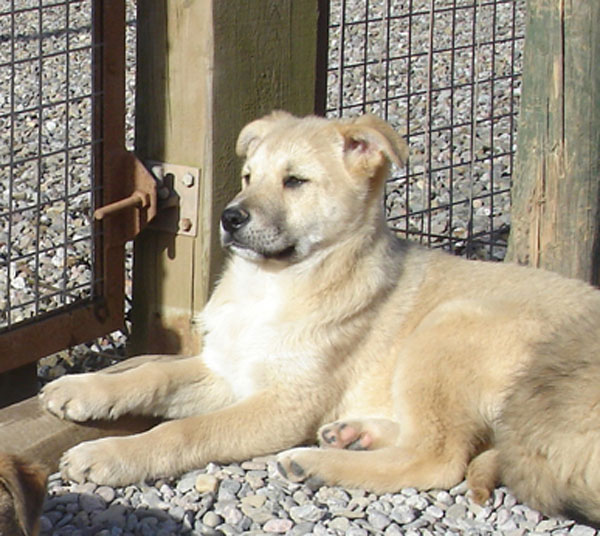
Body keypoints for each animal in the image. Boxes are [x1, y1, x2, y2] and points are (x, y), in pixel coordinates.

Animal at [42, 111, 600, 524]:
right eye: (249, 176)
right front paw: (84, 389)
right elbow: (153, 374)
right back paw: (353, 435)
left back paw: (316, 462)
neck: (273, 285)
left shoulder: (286, 404)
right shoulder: (231, 371)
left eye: (296, 181)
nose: (229, 217)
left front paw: (110, 455)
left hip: (450, 326)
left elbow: (184, 432)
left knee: (437, 459)